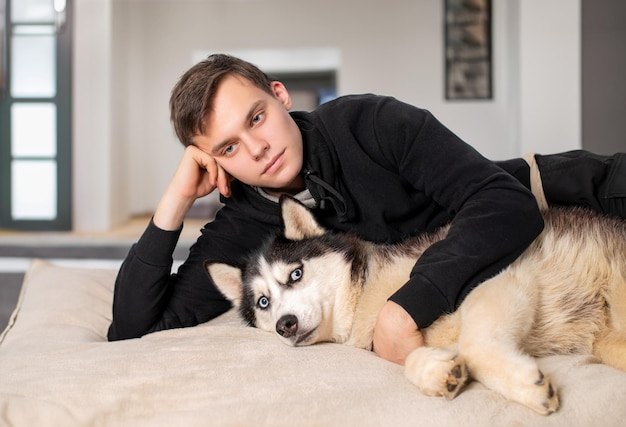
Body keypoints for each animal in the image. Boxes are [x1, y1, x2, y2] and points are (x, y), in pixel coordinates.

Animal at [206, 196, 624, 414]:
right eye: (263, 302)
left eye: (295, 274)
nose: (285, 324)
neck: (367, 293)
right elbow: (421, 357)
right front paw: (437, 371)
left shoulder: (501, 276)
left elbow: (475, 344)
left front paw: (526, 386)